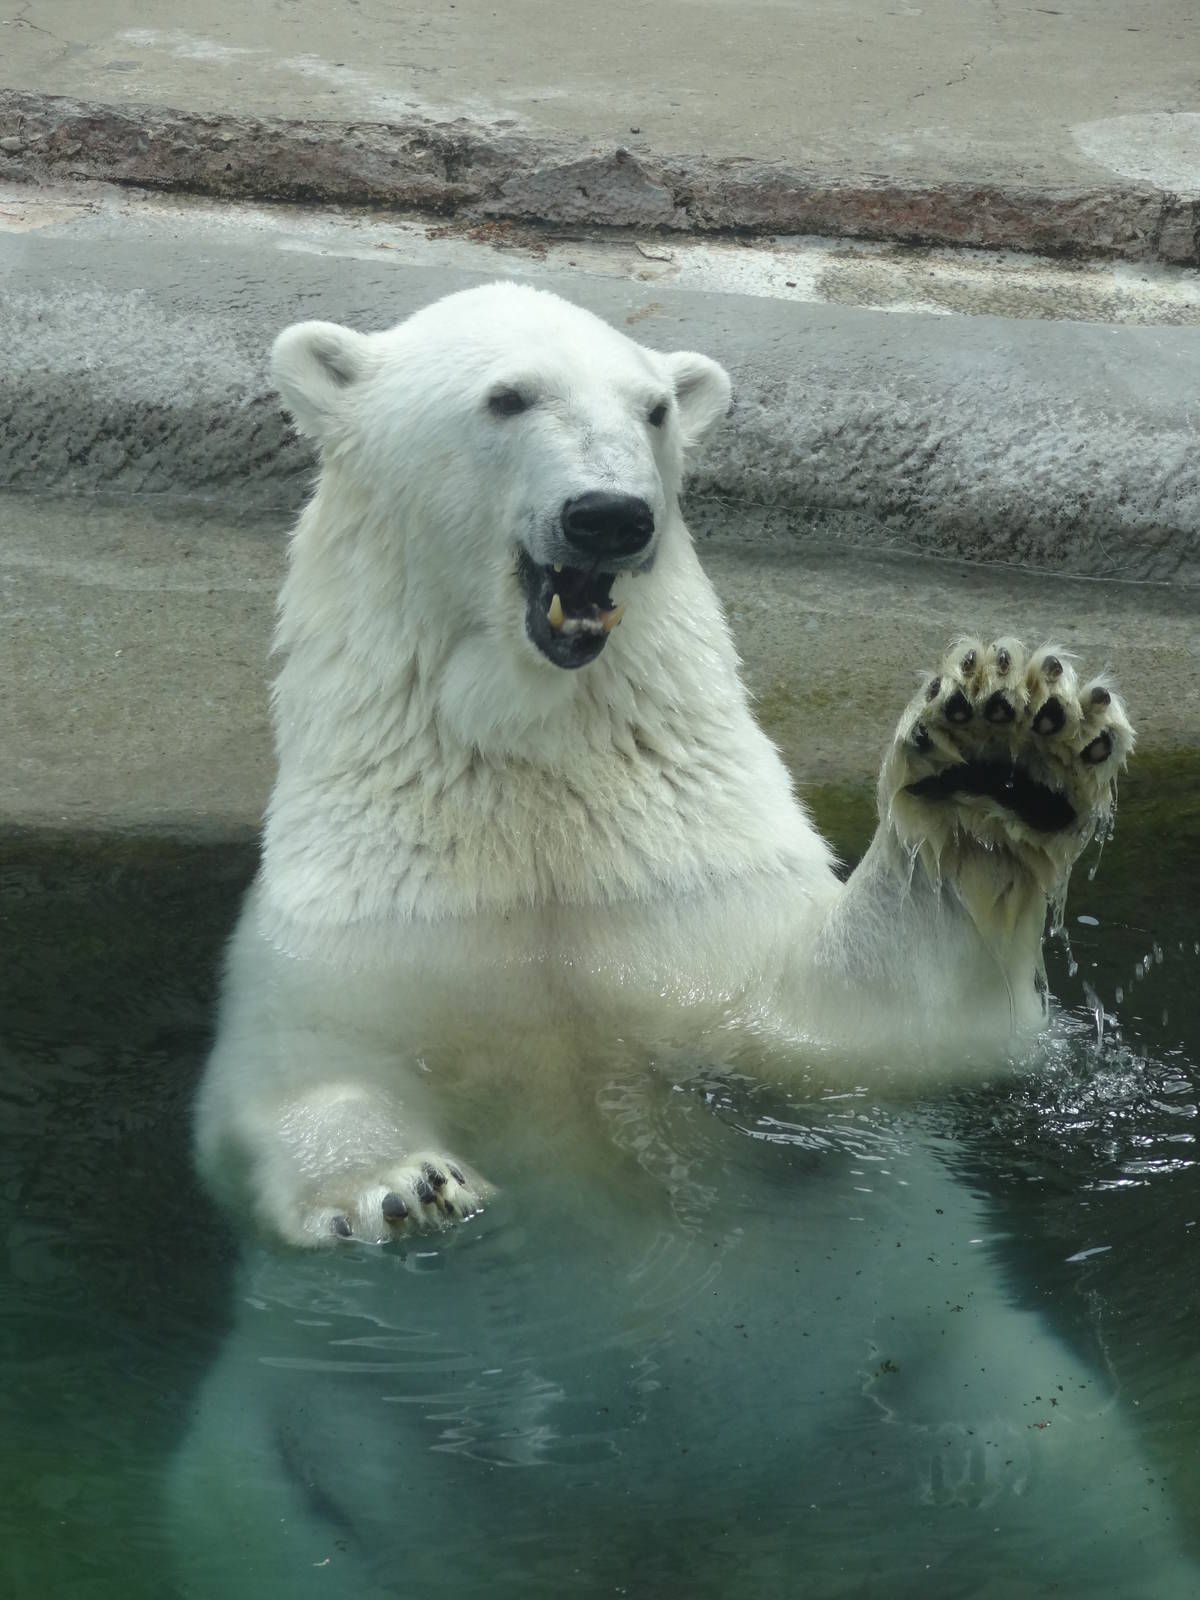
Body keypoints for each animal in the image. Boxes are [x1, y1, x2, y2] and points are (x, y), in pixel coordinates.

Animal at [172, 284, 1194, 1598]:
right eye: (506, 396)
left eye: (654, 408)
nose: (611, 516)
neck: (534, 785)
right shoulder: (355, 919)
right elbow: (283, 1085)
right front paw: (399, 1187)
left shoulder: (691, 892)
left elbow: (857, 1026)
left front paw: (1004, 751)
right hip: (283, 1456)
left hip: (957, 1387)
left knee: (1082, 1507)